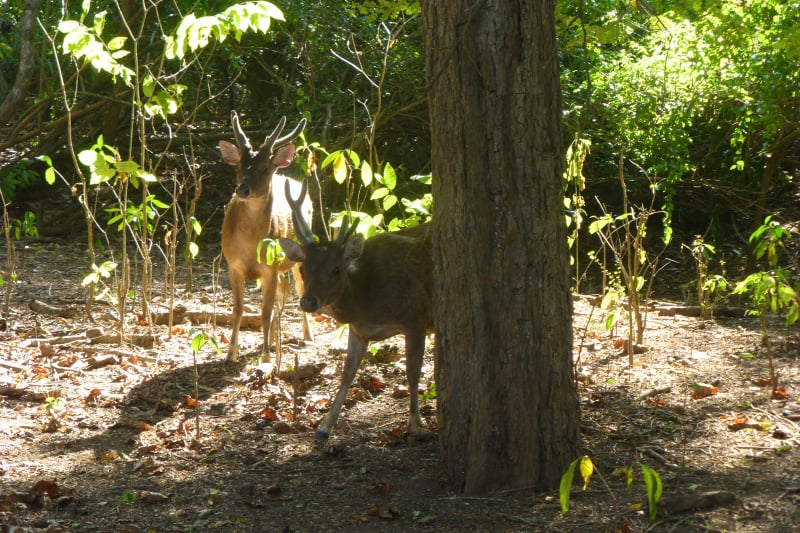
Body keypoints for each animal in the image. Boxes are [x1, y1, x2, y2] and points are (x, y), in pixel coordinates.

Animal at [222, 110, 316, 364]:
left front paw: (265, 358)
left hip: (298, 252)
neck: (249, 245)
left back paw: (307, 335)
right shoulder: (232, 264)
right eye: (239, 166)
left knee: (299, 288)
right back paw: (275, 338)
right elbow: (237, 310)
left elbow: (264, 312)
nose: (242, 190)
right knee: (284, 290)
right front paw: (231, 354)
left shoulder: (269, 268)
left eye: (265, 168)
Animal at [278, 181, 434, 438]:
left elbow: (412, 371)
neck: (365, 303)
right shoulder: (359, 330)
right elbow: (347, 373)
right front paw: (324, 426)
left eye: (336, 269)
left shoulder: (416, 316)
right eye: (302, 269)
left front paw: (414, 425)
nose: (308, 302)